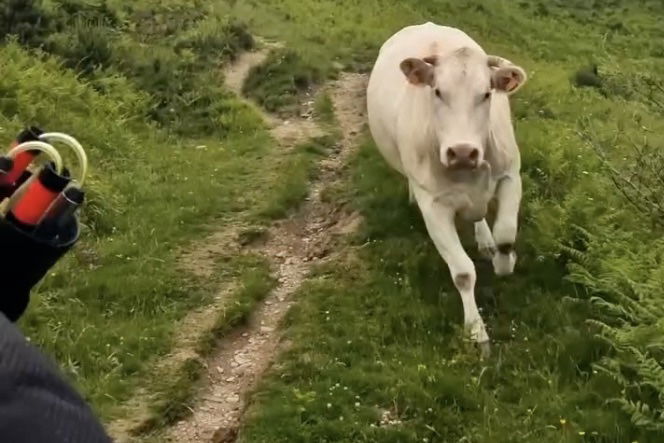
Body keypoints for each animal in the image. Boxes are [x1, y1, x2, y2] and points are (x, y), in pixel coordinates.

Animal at [366, 20, 528, 356]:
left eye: (486, 93)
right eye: (438, 91)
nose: (463, 151)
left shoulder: (510, 175)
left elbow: (506, 235)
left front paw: (504, 261)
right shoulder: (433, 206)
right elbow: (463, 273)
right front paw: (476, 332)